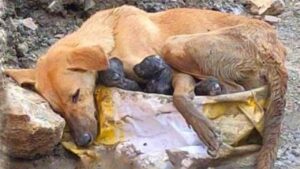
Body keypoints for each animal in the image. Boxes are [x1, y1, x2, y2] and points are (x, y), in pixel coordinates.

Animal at [3, 4, 288, 168]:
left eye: (76, 95)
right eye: (58, 110)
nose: (83, 141)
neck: (113, 33)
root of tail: (275, 48)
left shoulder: (171, 70)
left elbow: (179, 97)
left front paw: (202, 126)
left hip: (177, 44)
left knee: (233, 88)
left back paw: (209, 90)